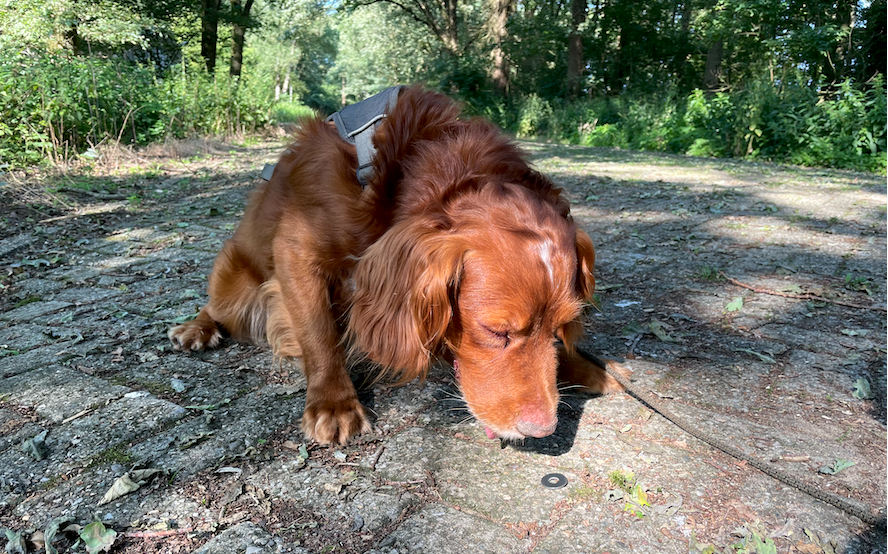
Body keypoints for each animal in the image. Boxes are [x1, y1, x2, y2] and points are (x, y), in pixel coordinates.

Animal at [168, 84, 624, 442]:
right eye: (496, 332)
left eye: (562, 325)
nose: (543, 430)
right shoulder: (294, 248)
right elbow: (318, 331)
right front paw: (333, 402)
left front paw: (585, 367)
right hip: (234, 280)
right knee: (217, 305)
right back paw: (196, 327)